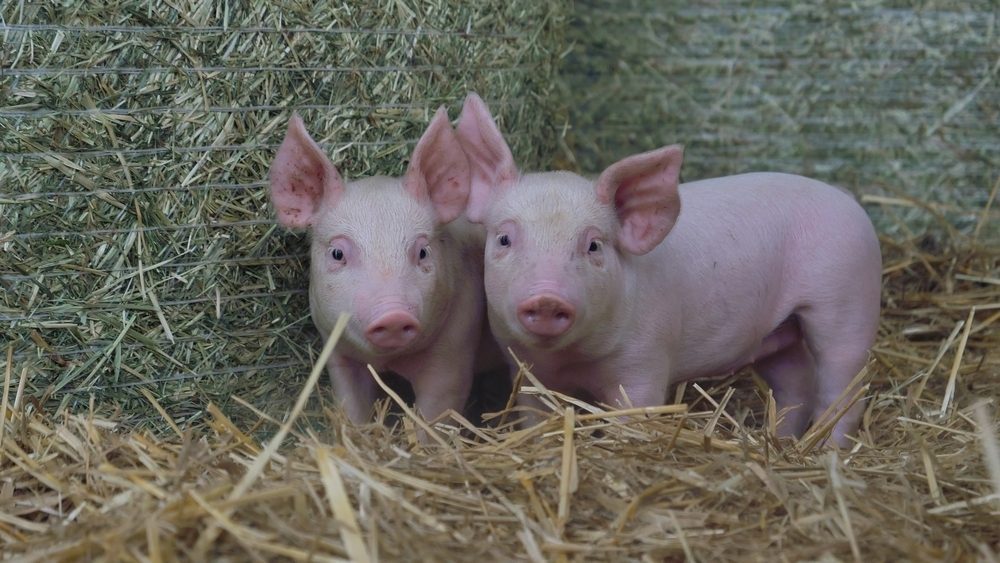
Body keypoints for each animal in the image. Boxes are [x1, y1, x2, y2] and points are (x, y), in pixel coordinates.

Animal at [268, 108, 487, 425]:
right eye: (337, 253)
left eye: (423, 252)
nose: (393, 314)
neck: (388, 362)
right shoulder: (339, 354)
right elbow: (352, 407)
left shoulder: (454, 353)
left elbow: (435, 414)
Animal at [454, 93, 881, 447]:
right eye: (504, 239)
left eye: (594, 245)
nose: (546, 297)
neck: (571, 359)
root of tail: (847, 200)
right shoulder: (525, 368)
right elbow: (534, 415)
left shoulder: (645, 358)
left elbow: (633, 415)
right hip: (779, 331)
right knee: (795, 382)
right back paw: (782, 441)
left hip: (847, 298)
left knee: (844, 386)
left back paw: (826, 451)